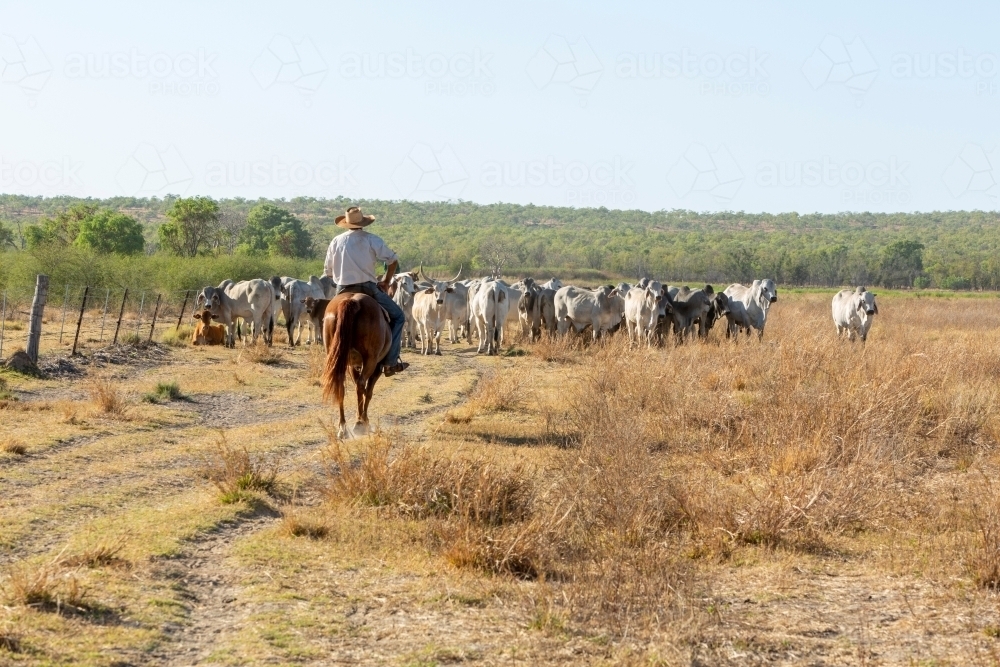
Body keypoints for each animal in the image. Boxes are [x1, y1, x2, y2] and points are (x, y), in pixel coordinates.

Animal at [324, 292, 394, 438]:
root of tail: (352, 301)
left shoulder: (352, 366)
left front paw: (360, 416)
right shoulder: (376, 366)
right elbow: (368, 392)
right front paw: (364, 419)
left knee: (342, 387)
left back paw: (343, 427)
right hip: (370, 361)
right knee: (362, 385)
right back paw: (360, 424)